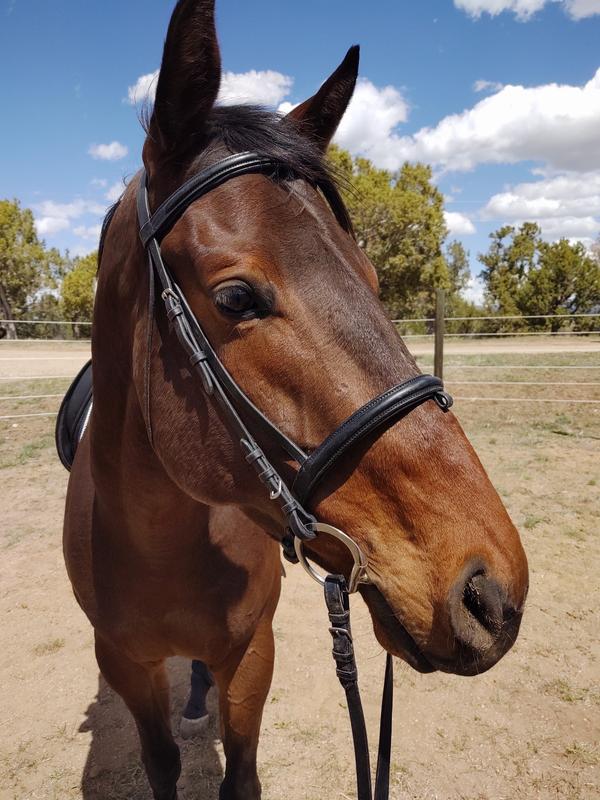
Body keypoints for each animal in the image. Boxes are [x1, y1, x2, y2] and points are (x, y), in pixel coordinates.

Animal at [61, 2, 529, 798]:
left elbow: (241, 775)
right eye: (235, 298)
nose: (491, 591)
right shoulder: (122, 663)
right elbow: (160, 765)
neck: (158, 538)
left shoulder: (254, 654)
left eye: (372, 276)